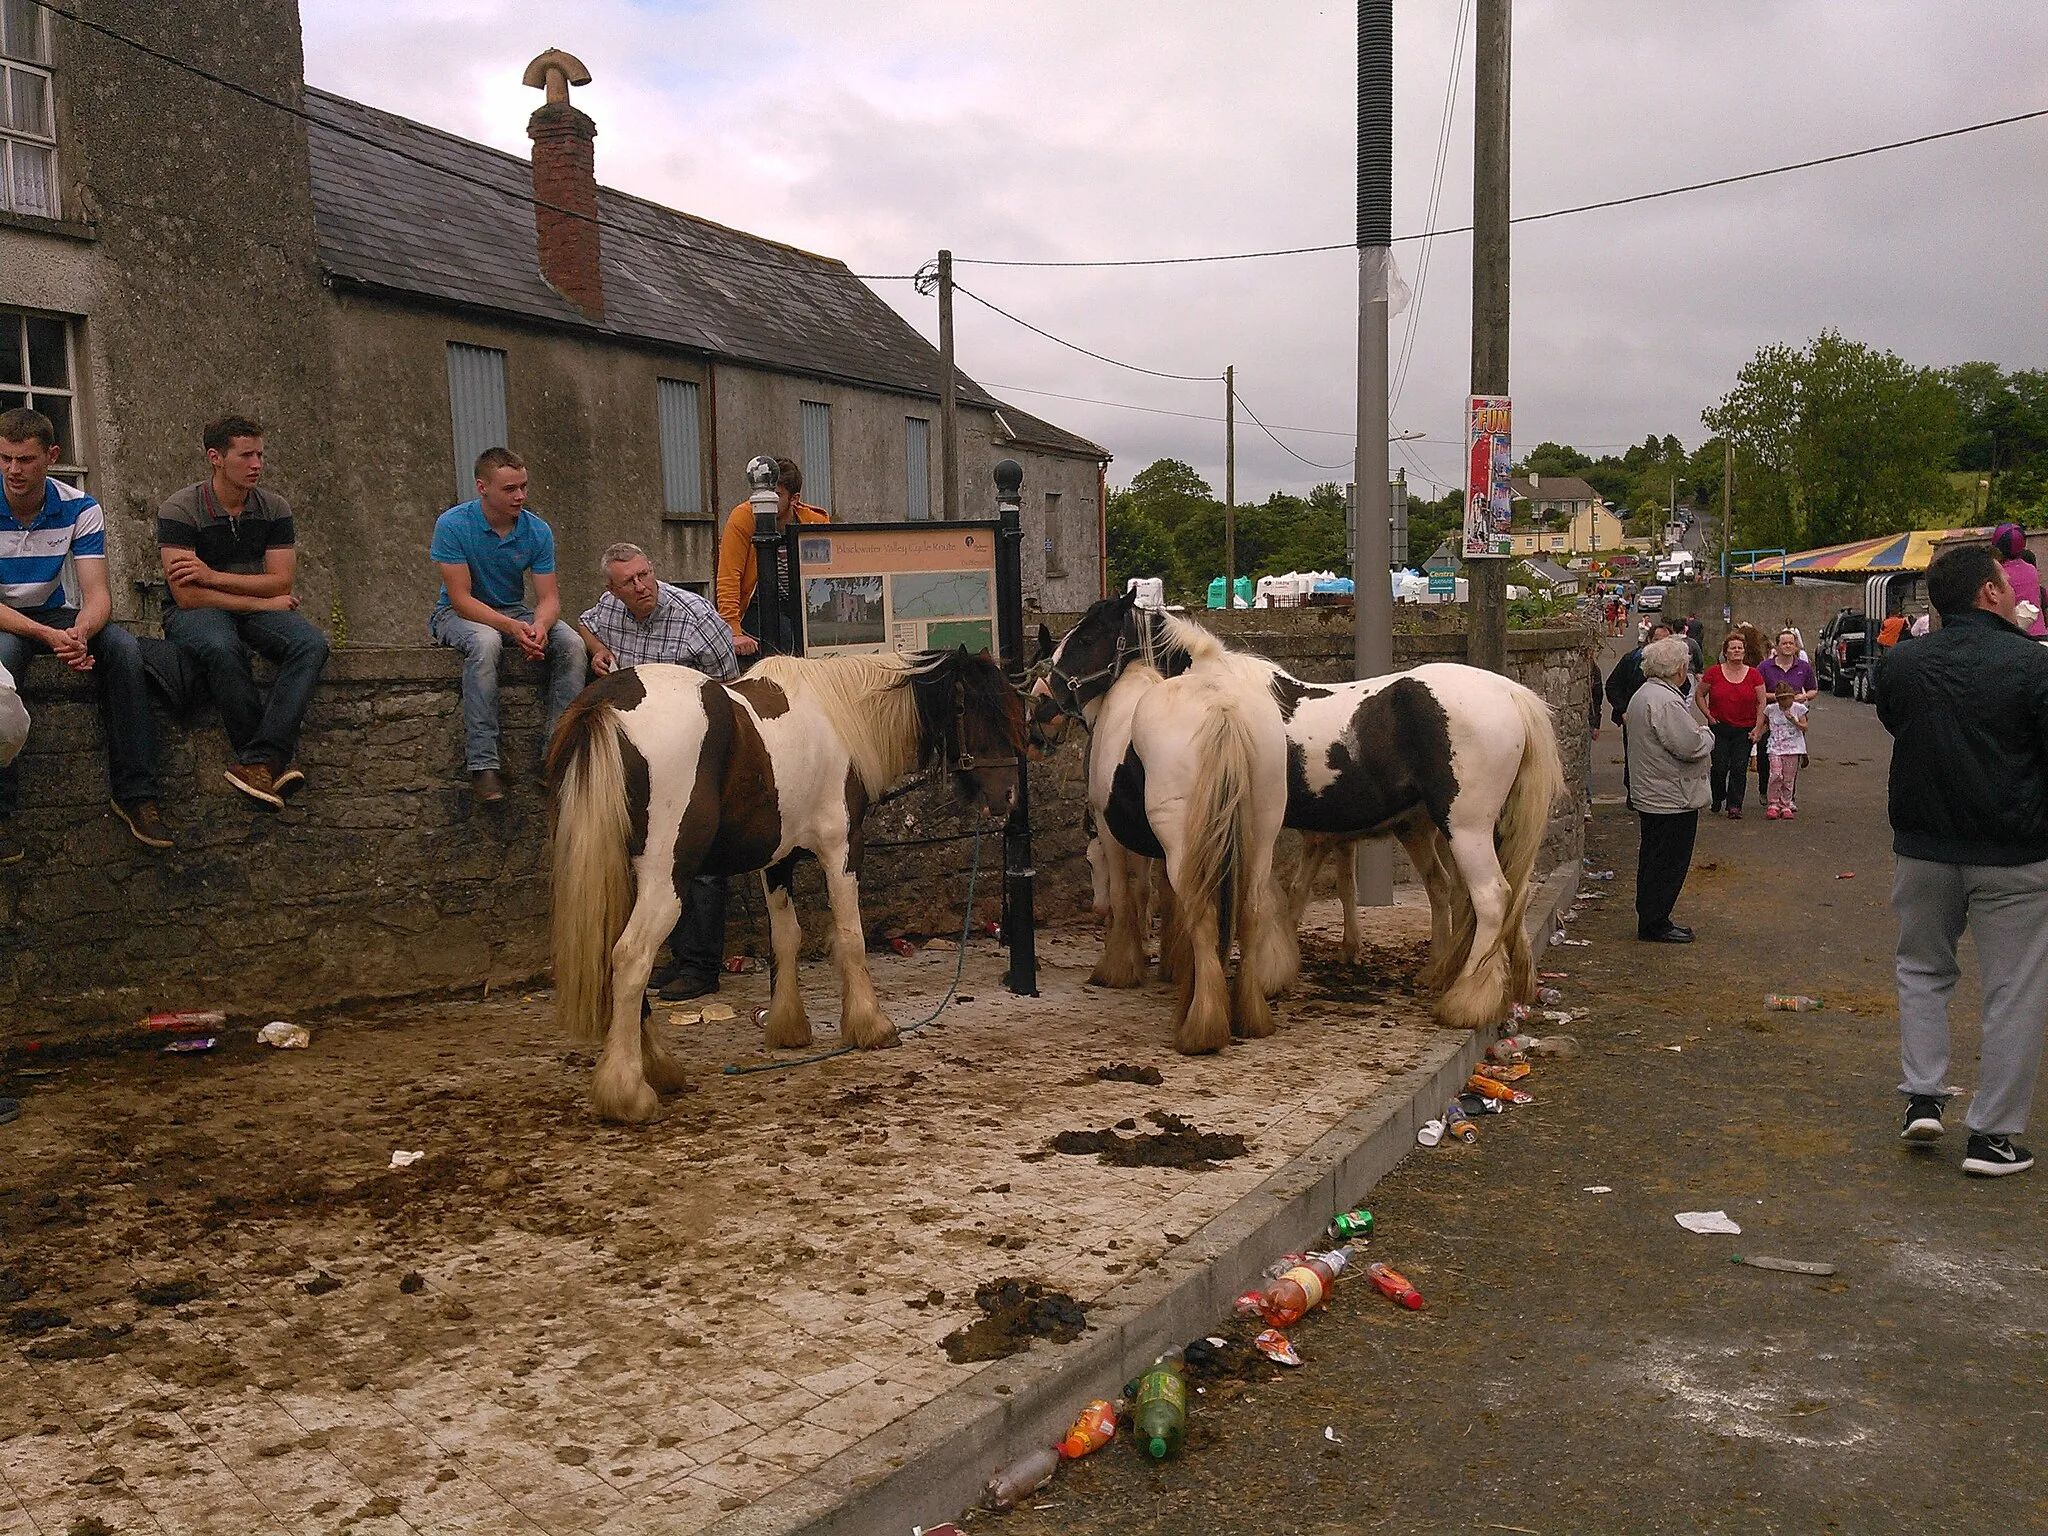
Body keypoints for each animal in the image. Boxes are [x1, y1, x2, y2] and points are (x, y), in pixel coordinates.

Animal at [544, 651, 1024, 1122]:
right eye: (979, 709)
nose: (1007, 797)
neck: (839, 716)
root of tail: (605, 702)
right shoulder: (841, 847)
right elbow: (851, 936)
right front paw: (871, 1024)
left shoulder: (778, 861)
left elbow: (786, 938)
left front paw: (788, 1027)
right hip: (665, 880)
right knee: (631, 958)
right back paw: (628, 1094)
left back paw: (660, 1070)